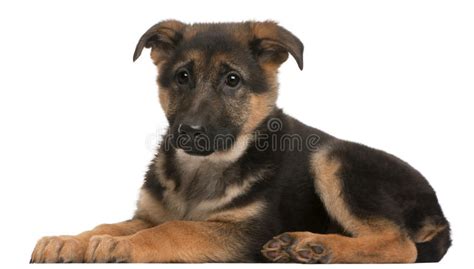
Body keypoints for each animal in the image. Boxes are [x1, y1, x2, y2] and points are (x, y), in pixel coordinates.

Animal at [31, 20, 450, 262]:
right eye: (182, 77)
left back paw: (316, 246)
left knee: (399, 245)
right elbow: (112, 224)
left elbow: (176, 228)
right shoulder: (147, 215)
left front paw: (123, 246)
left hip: (334, 158)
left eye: (232, 80)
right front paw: (71, 241)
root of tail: (439, 210)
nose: (190, 131)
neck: (205, 167)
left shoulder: (246, 233)